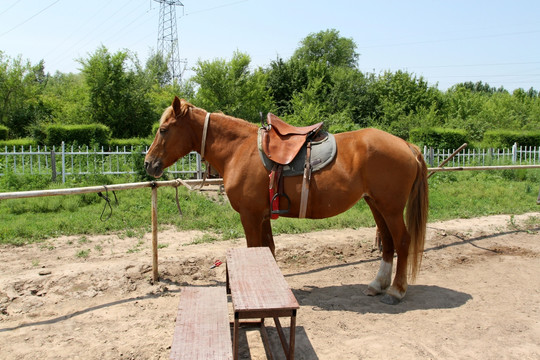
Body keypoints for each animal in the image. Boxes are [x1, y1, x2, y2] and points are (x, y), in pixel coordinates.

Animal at [146, 96, 428, 304]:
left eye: (163, 130)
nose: (149, 164)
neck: (239, 149)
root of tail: (407, 145)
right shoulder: (261, 216)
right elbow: (268, 249)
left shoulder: (249, 216)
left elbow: (255, 250)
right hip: (376, 205)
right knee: (388, 242)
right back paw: (377, 285)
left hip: (391, 208)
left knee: (402, 241)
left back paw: (396, 290)